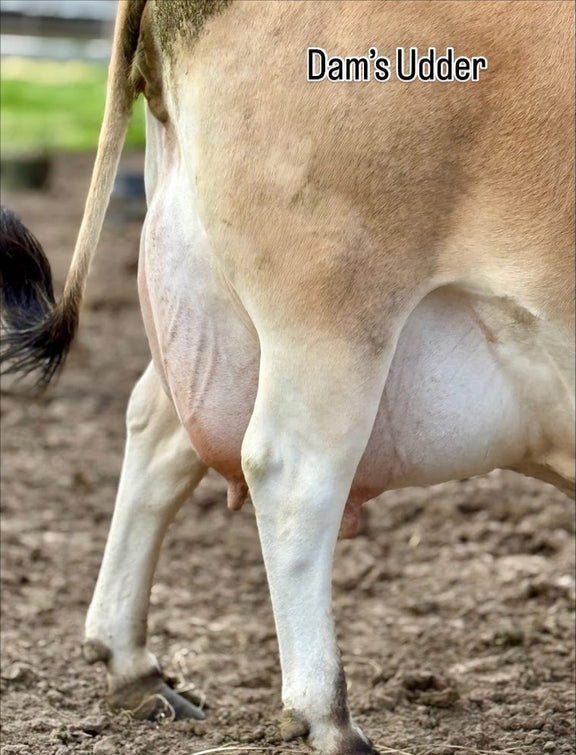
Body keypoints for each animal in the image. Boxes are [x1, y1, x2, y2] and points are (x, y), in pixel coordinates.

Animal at [1, 2, 574, 753]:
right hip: (332, 307)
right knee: (292, 472)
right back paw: (327, 716)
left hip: (204, 299)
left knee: (157, 429)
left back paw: (134, 669)